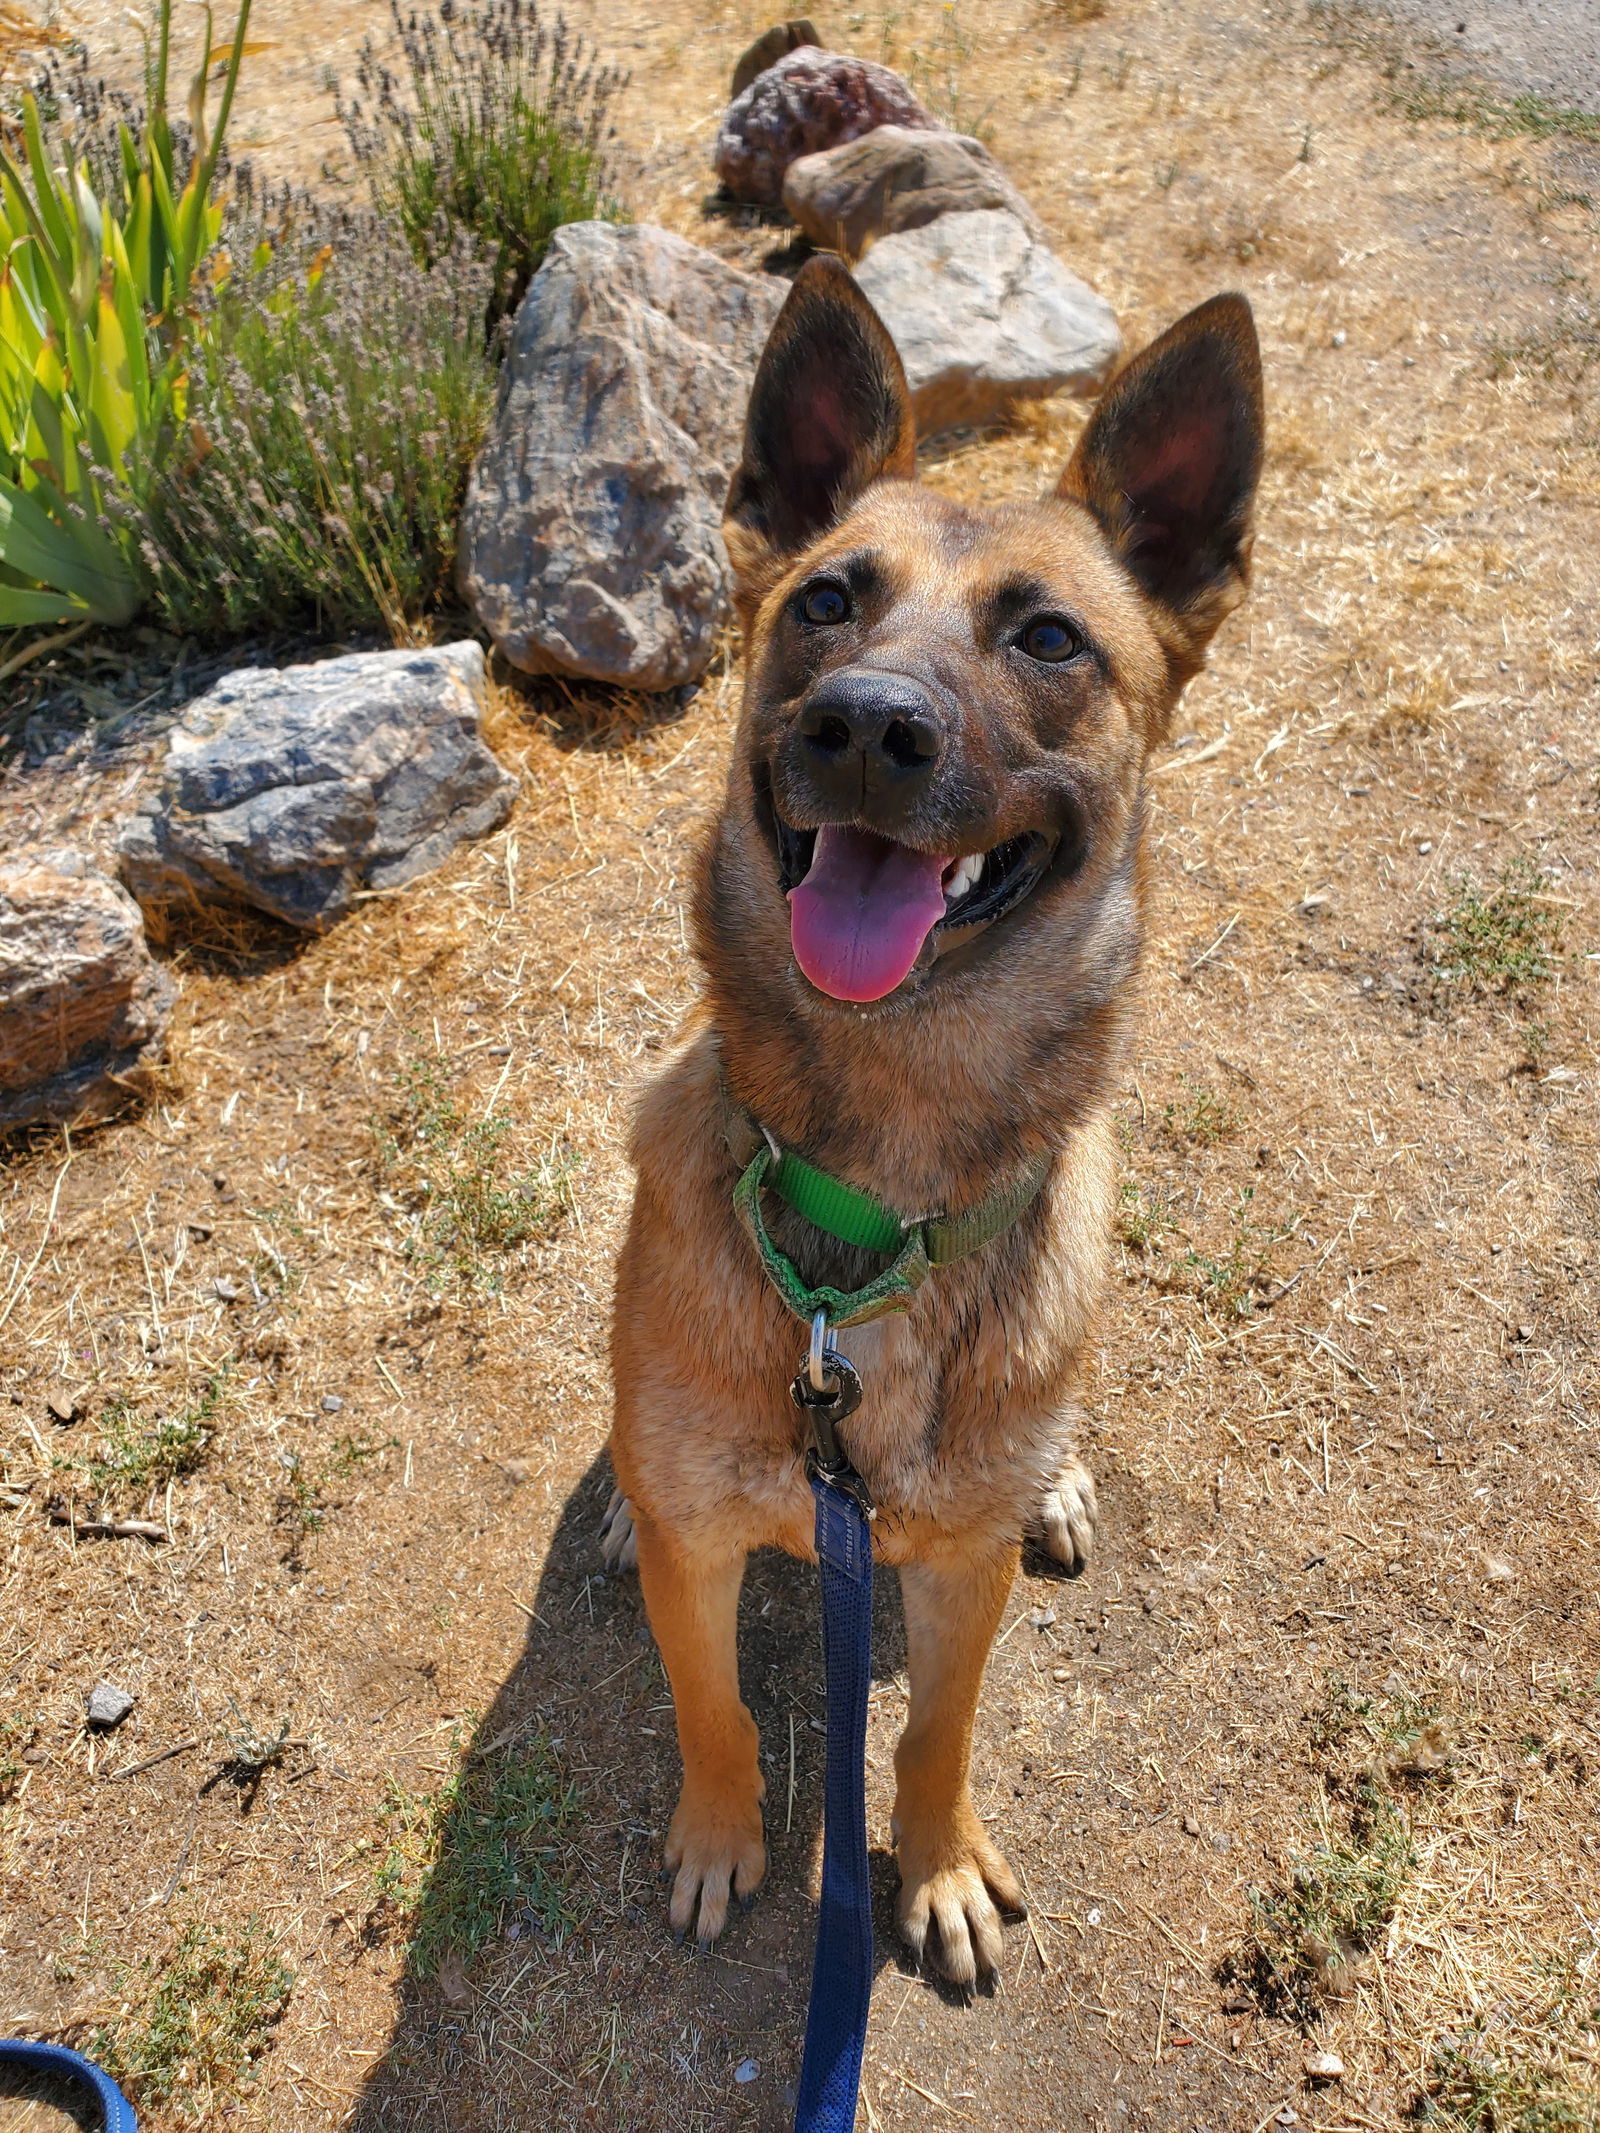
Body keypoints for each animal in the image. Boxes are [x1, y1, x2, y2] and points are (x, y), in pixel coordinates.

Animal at [605, 258, 1262, 1987]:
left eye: (1049, 637)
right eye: (826, 600)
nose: (865, 723)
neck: (872, 1198)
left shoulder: (959, 1580)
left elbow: (933, 1732)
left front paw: (939, 1864)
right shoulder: (708, 1552)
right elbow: (710, 1705)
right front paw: (722, 1838)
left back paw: (1061, 1482)